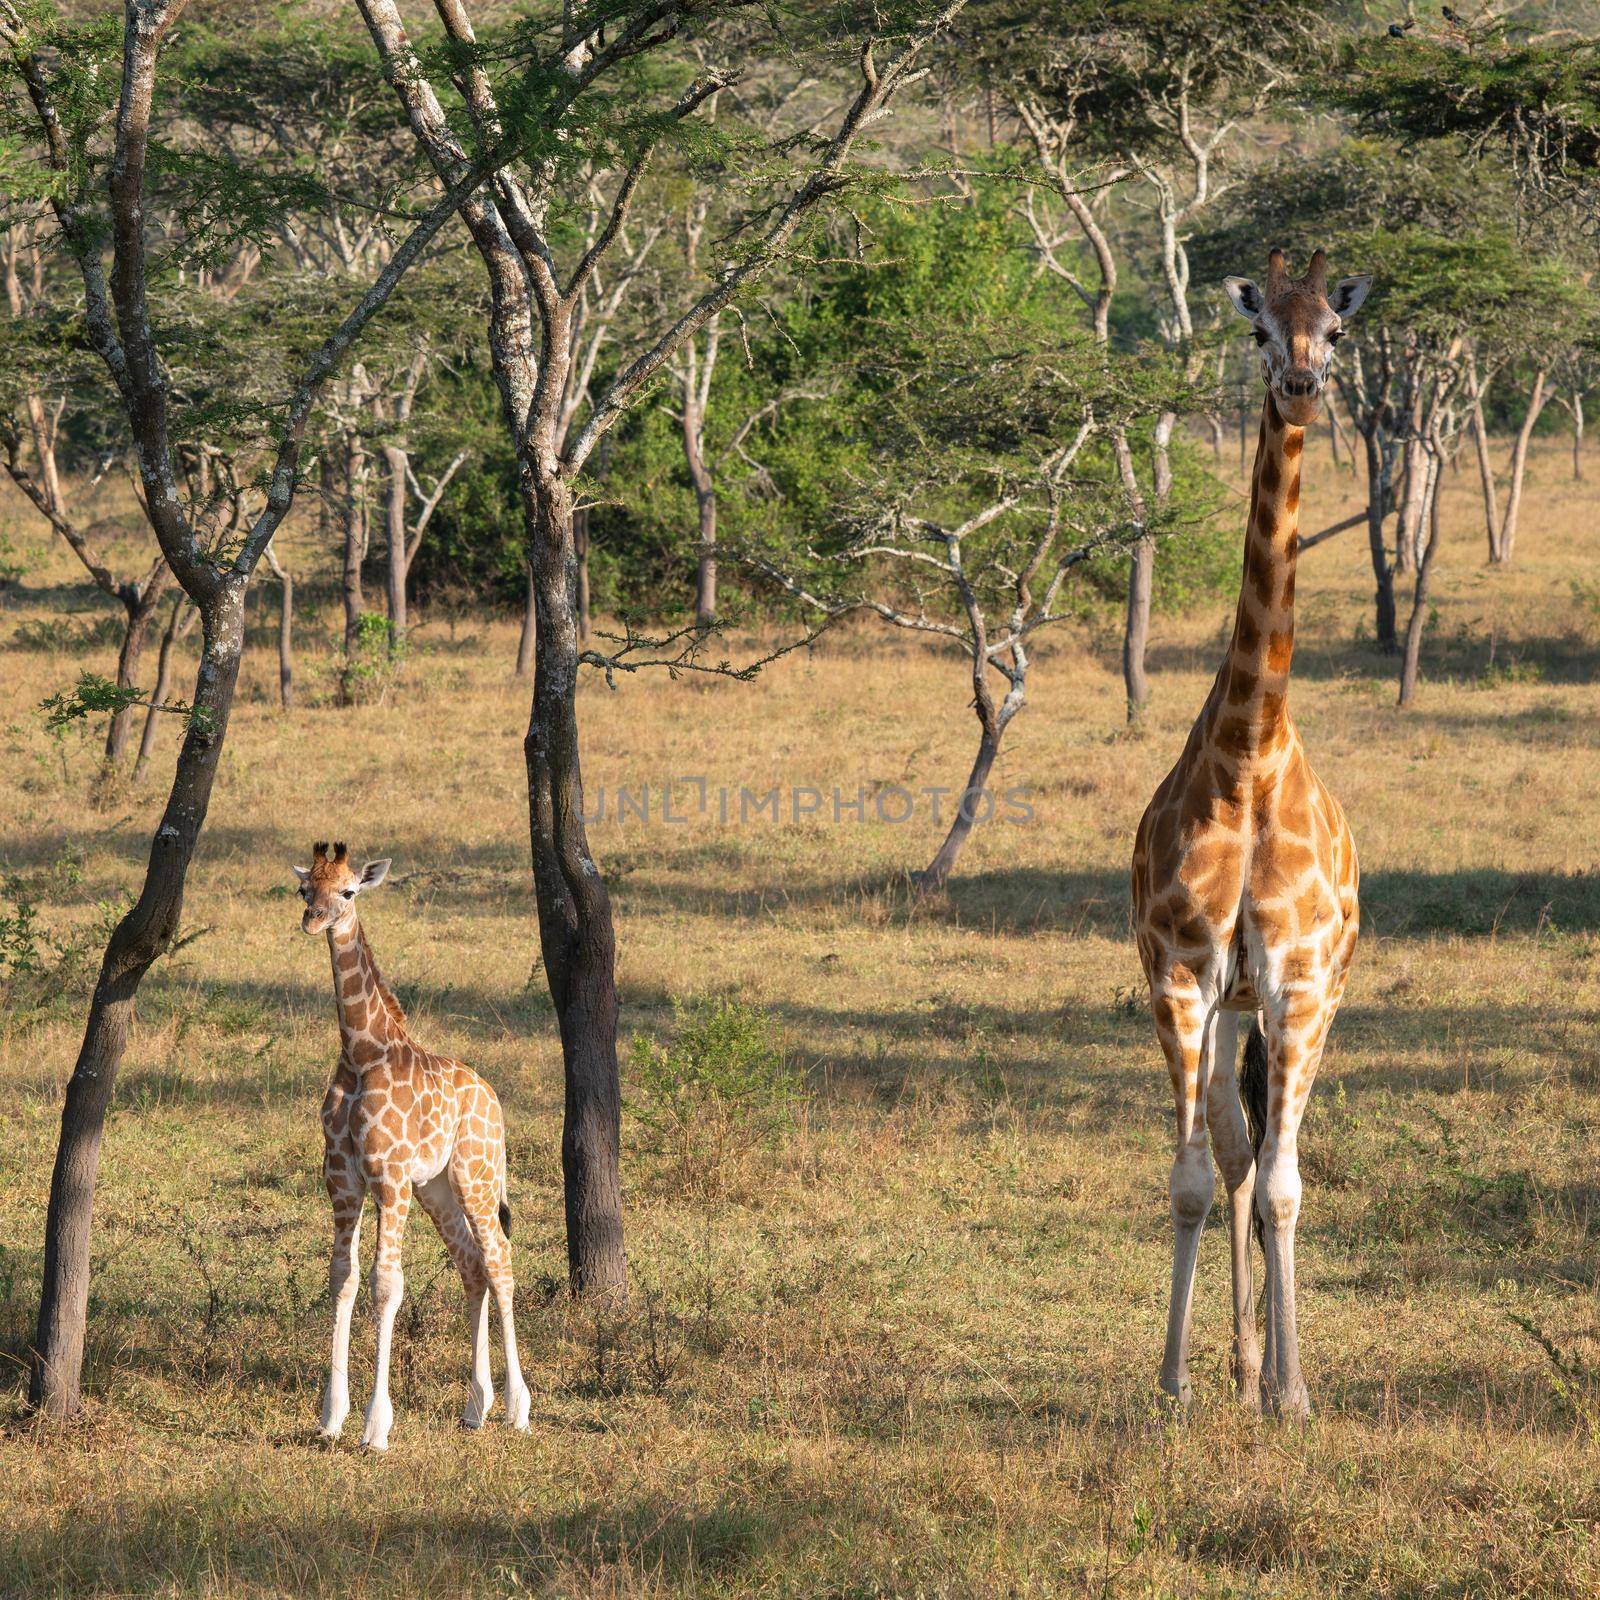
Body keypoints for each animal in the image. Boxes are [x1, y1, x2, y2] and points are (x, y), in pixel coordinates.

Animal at [294, 844, 531, 1459]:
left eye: (349, 891)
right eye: (306, 890)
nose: (313, 921)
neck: (361, 1053)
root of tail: (495, 1099)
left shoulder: (390, 1177)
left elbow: (386, 1284)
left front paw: (376, 1427)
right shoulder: (343, 1180)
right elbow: (343, 1278)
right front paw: (331, 1417)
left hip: (475, 1174)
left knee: (499, 1257)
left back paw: (518, 1408)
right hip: (438, 1186)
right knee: (471, 1262)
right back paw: (476, 1407)